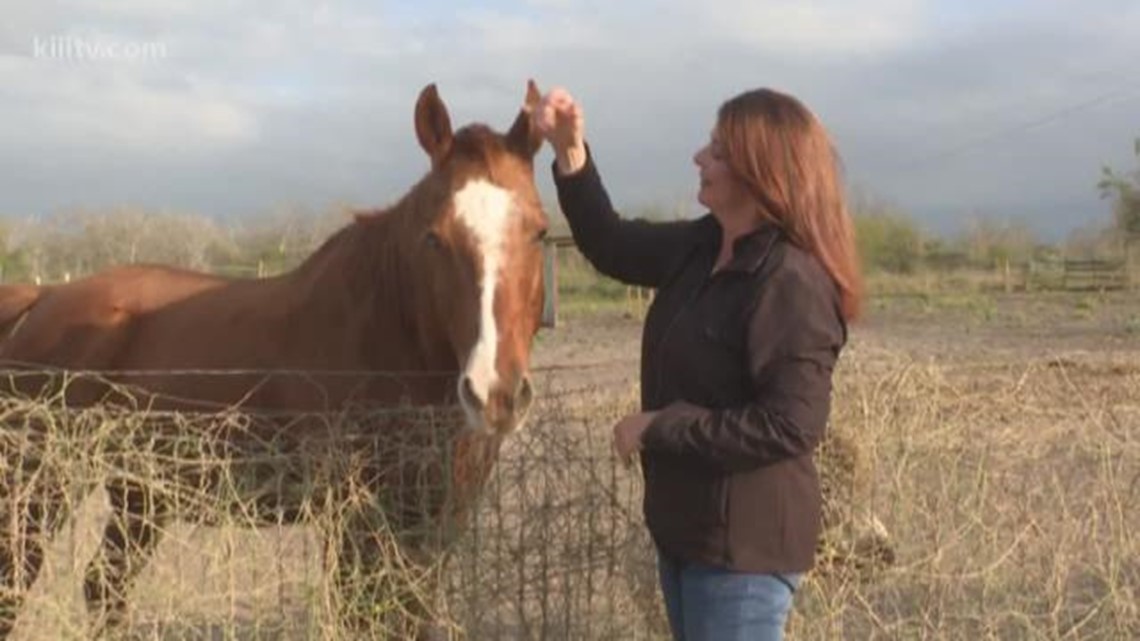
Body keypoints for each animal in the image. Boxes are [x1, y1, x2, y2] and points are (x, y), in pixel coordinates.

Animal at [0, 80, 548, 640]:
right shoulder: (352, 522)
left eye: (540, 232)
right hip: (39, 487)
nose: (495, 392)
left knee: (104, 586)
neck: (387, 335)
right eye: (434, 238)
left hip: (140, 495)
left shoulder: (435, 518)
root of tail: (40, 300)